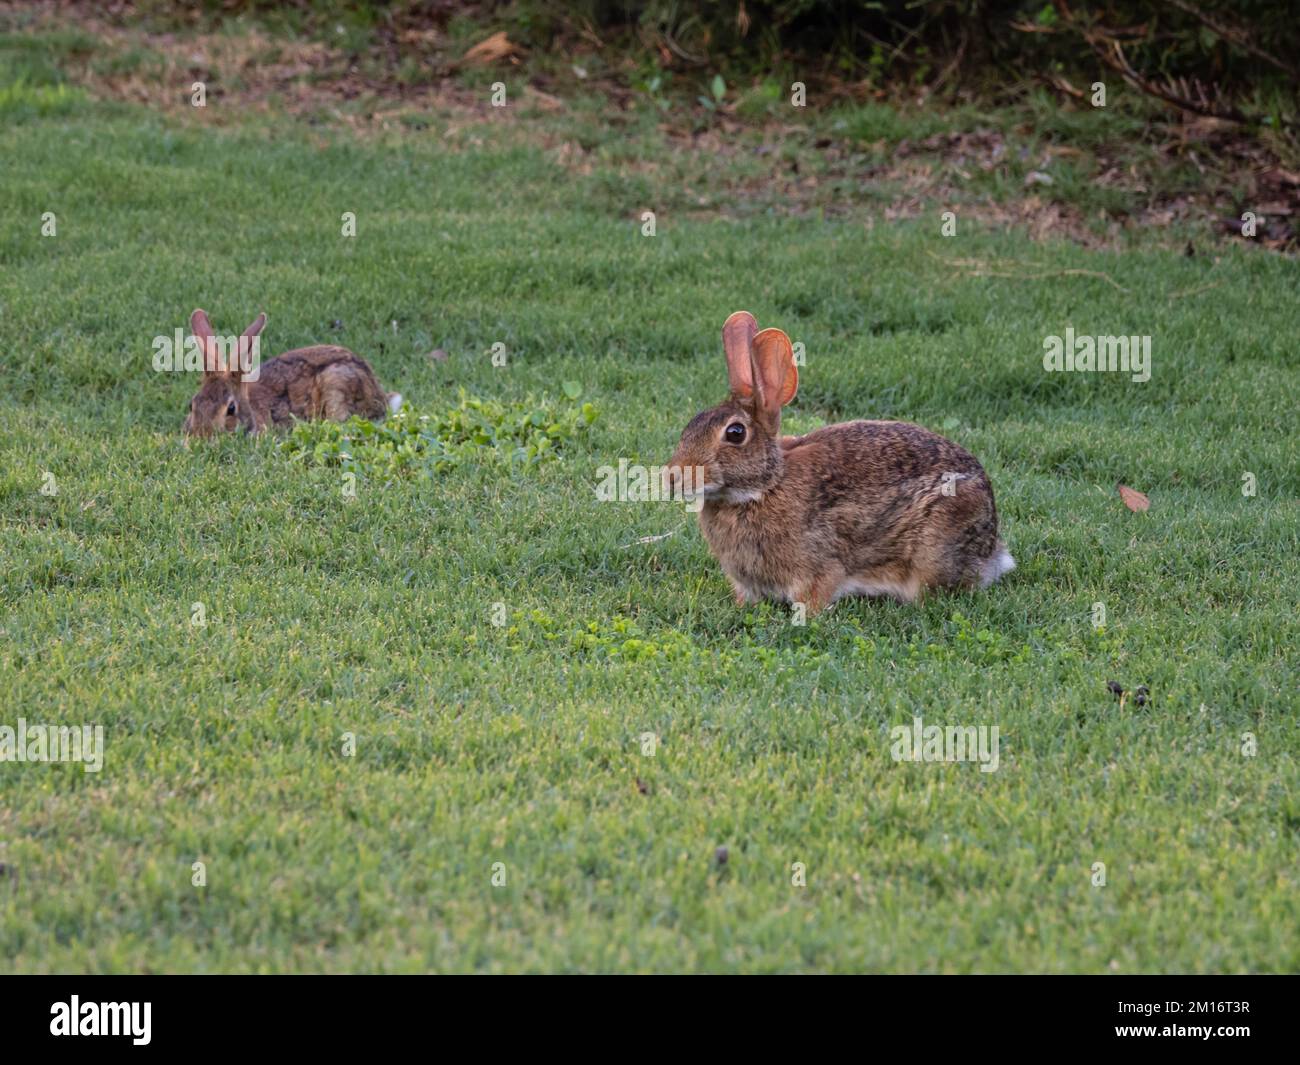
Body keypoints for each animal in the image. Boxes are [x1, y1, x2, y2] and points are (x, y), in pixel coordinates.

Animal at [666, 310, 1015, 615]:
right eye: (692, 423)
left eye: (735, 433)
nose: (672, 477)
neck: (766, 486)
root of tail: (993, 549)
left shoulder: (819, 568)